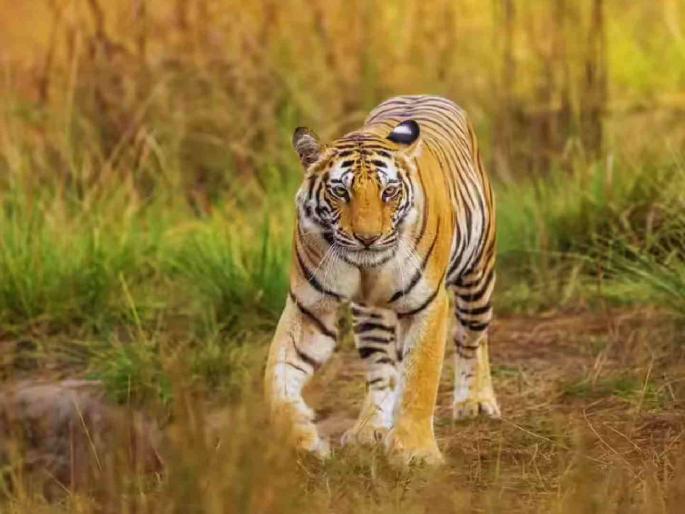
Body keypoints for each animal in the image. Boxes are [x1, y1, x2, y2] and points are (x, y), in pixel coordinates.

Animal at [264, 95, 499, 465]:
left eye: (389, 191)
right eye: (340, 191)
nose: (367, 238)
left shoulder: (428, 303)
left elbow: (420, 377)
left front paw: (416, 452)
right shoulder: (310, 308)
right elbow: (277, 374)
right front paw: (301, 441)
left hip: (477, 278)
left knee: (472, 339)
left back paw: (475, 402)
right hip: (371, 314)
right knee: (381, 370)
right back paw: (369, 428)